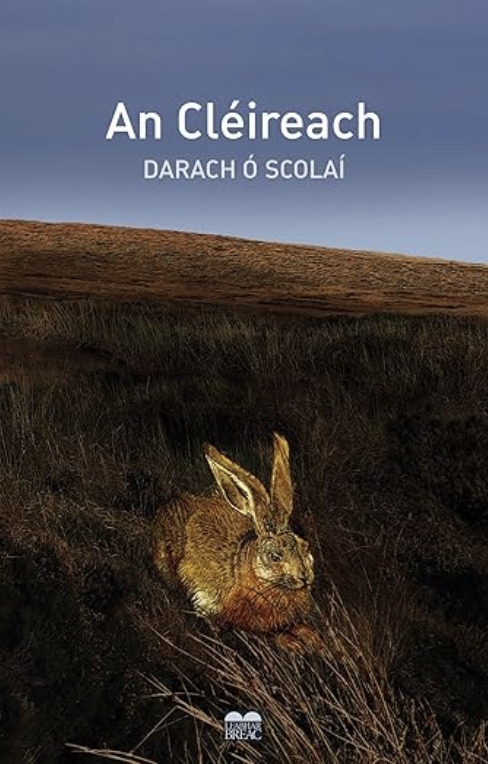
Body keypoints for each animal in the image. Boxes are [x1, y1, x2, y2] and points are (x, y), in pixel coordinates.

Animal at [154, 433, 323, 653]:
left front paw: (314, 640)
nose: (304, 577)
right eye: (275, 556)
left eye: (305, 547)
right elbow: (268, 634)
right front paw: (295, 644)